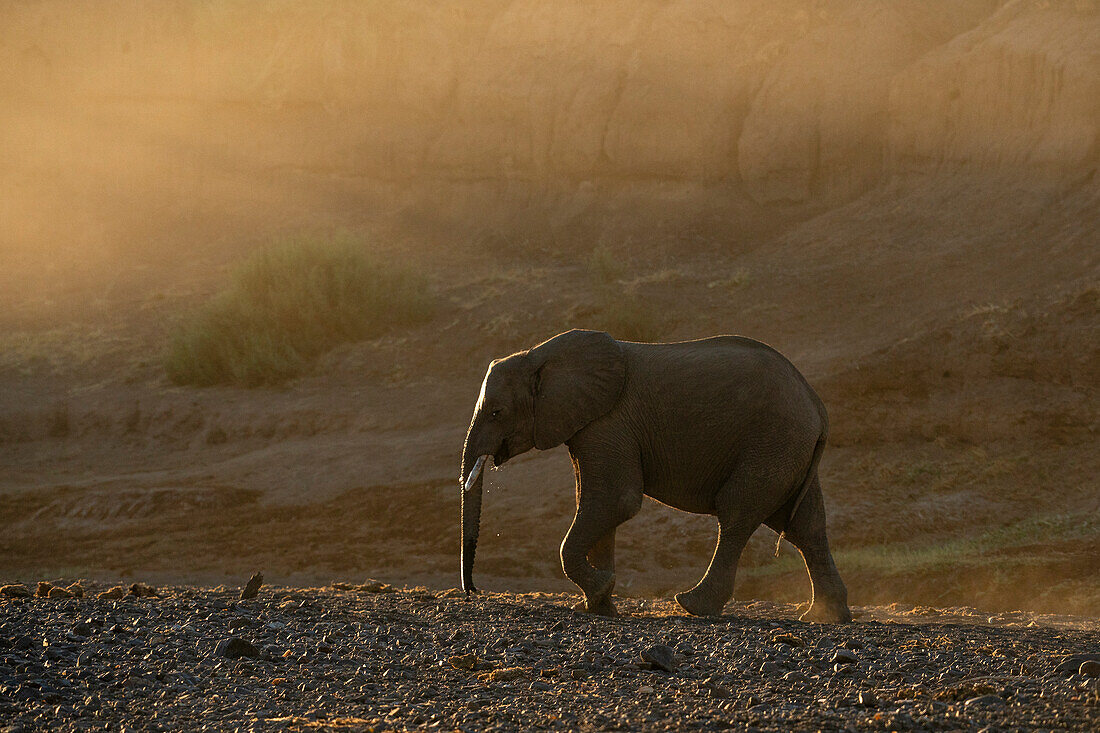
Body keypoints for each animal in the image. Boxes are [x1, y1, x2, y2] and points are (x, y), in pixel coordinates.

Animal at [455, 327, 849, 620]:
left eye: (496, 412)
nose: (474, 591)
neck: (538, 354)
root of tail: (818, 407)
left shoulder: (609, 421)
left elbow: (616, 501)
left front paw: (600, 592)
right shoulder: (589, 424)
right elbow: (597, 503)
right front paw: (600, 605)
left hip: (773, 441)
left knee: (737, 513)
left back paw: (693, 606)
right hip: (788, 449)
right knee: (806, 526)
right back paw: (825, 616)